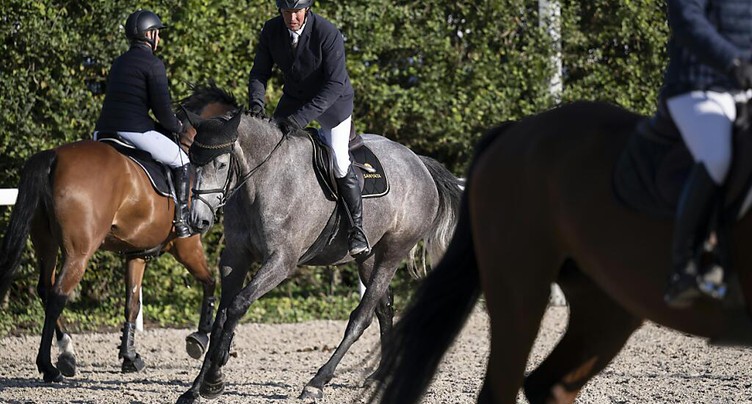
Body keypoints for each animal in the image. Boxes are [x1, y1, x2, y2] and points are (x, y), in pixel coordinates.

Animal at [0, 90, 235, 384]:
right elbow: (210, 282)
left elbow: (131, 304)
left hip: (46, 244)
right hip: (78, 253)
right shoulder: (186, 245)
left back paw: (67, 353)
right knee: (57, 296)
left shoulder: (137, 255)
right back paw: (50, 366)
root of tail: (54, 156)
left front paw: (129, 356)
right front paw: (199, 337)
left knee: (45, 289)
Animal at [176, 103, 462, 400]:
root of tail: (419, 162)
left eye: (221, 164)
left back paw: (317, 382)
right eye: (192, 162)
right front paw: (198, 386)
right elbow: (222, 316)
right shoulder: (235, 258)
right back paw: (379, 375)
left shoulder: (281, 261)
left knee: (361, 317)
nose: (198, 220)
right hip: (369, 257)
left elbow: (238, 305)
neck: (264, 180)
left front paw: (214, 376)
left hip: (394, 251)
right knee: (383, 308)